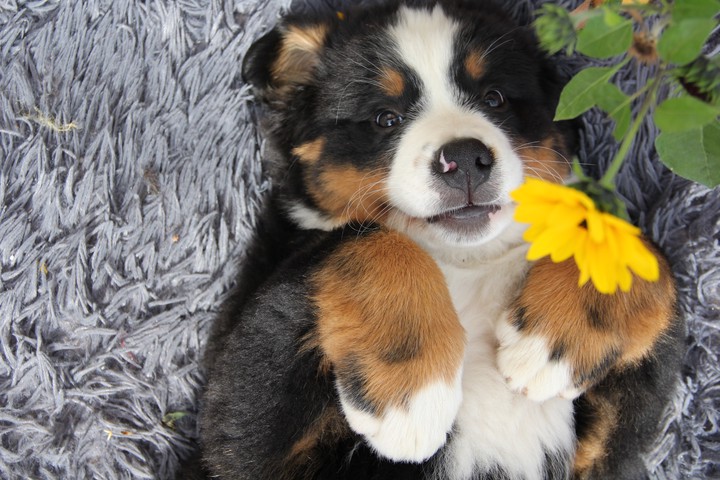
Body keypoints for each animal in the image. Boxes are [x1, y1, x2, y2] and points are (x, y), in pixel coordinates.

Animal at [198, 1, 684, 478]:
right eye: (385, 118)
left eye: (494, 98)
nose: (465, 159)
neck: (465, 261)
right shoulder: (242, 416)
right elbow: (364, 238)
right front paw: (413, 395)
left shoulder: (614, 446)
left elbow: (637, 247)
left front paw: (550, 344)